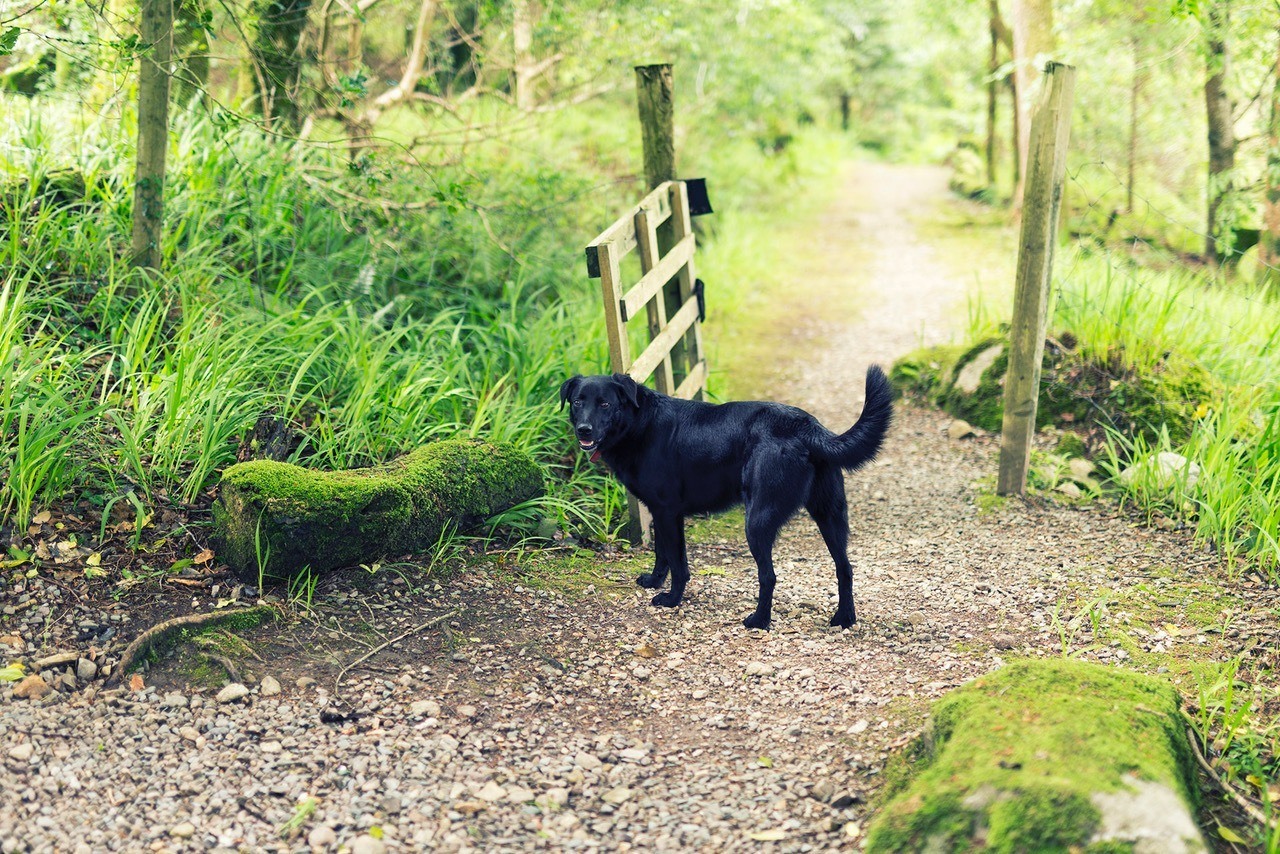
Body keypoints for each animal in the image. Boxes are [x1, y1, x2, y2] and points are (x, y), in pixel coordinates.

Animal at [560, 363, 890, 632]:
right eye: (577, 402)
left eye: (605, 403)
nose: (584, 429)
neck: (639, 423)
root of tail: (808, 426)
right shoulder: (661, 512)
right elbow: (662, 554)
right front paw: (654, 581)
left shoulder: (667, 512)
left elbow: (678, 563)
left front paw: (671, 599)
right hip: (830, 514)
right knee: (845, 567)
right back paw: (844, 619)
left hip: (757, 521)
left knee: (769, 576)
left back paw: (759, 621)